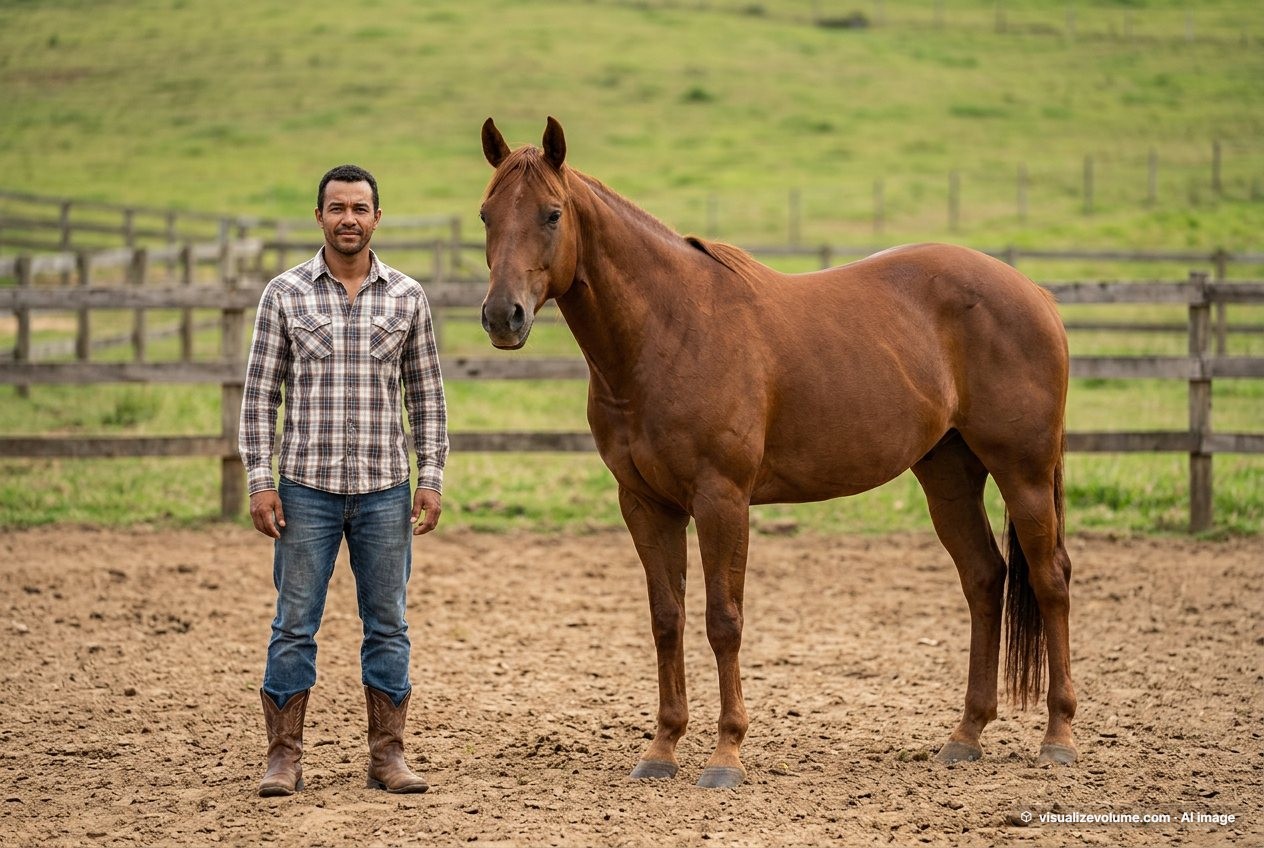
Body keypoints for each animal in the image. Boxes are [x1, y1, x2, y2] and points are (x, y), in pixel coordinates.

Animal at [477, 117, 1077, 789]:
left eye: (552, 214)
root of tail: (1033, 292)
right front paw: (662, 750)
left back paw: (1058, 737)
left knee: (1051, 579)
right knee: (984, 578)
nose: (502, 316)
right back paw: (966, 736)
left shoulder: (722, 500)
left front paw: (726, 756)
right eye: (486, 215)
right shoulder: (646, 504)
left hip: (1023, 472)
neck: (669, 331)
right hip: (948, 473)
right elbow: (666, 619)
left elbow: (723, 620)